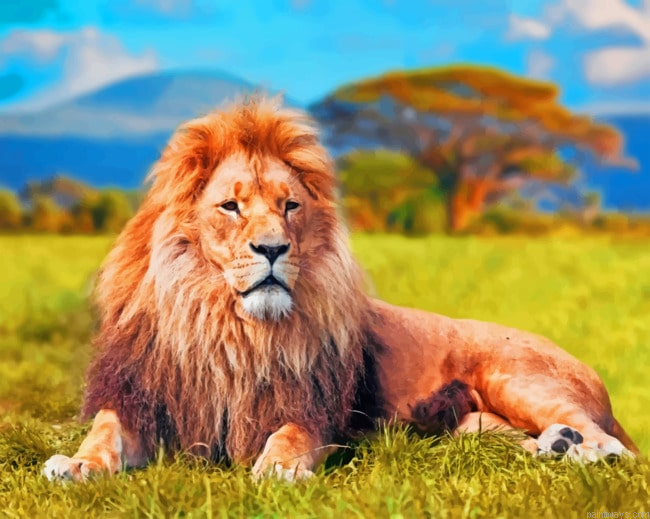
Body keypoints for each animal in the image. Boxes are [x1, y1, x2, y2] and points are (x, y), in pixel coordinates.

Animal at [43, 98, 638, 482]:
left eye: (290, 206)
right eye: (231, 206)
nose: (273, 249)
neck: (228, 326)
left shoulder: (315, 409)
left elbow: (289, 436)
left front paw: (278, 468)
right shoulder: (144, 399)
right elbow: (105, 433)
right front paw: (76, 465)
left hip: (516, 377)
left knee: (615, 447)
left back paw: (582, 451)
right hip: (471, 424)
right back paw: (555, 447)